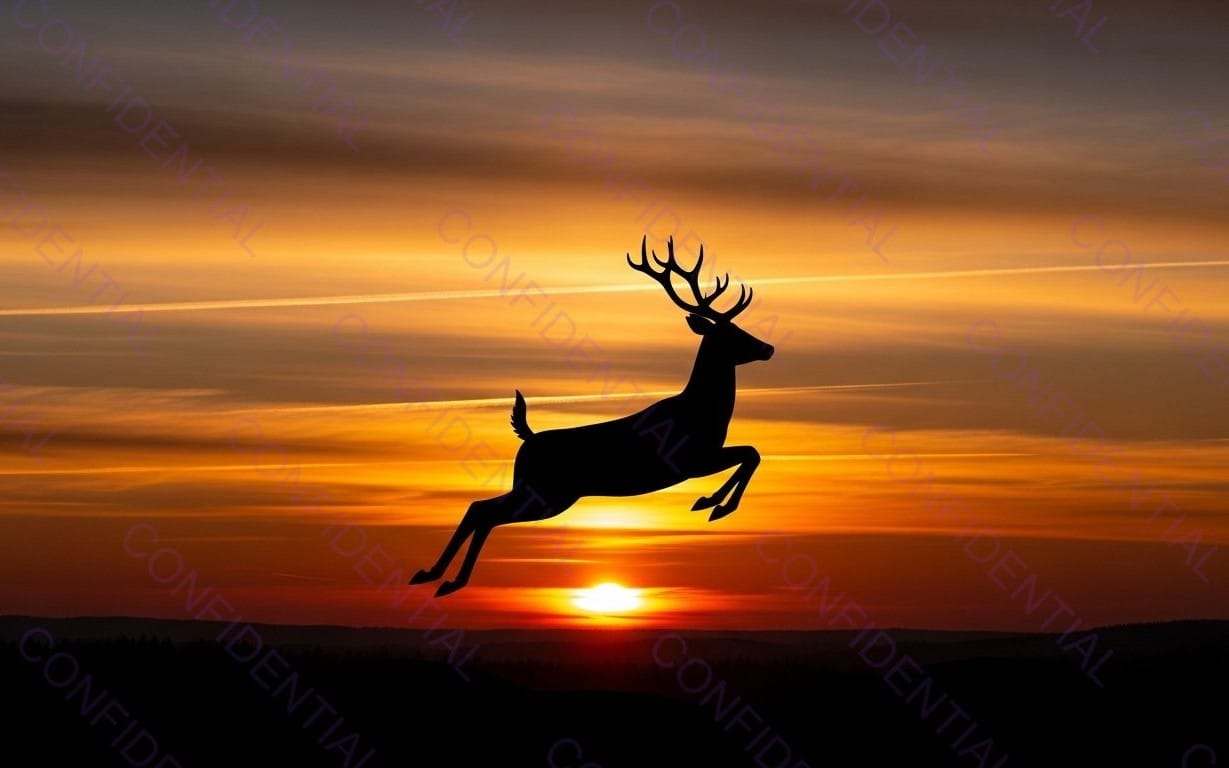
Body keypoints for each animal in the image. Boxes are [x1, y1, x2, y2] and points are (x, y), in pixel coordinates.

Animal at [411, 236, 775, 597]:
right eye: (732, 334)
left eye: (740, 328)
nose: (768, 348)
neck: (703, 411)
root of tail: (529, 439)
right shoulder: (689, 459)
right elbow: (751, 453)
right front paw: (714, 505)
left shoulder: (698, 459)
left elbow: (751, 454)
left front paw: (710, 502)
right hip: (547, 493)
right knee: (485, 511)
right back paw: (447, 579)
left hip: (540, 491)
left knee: (480, 508)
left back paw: (432, 575)